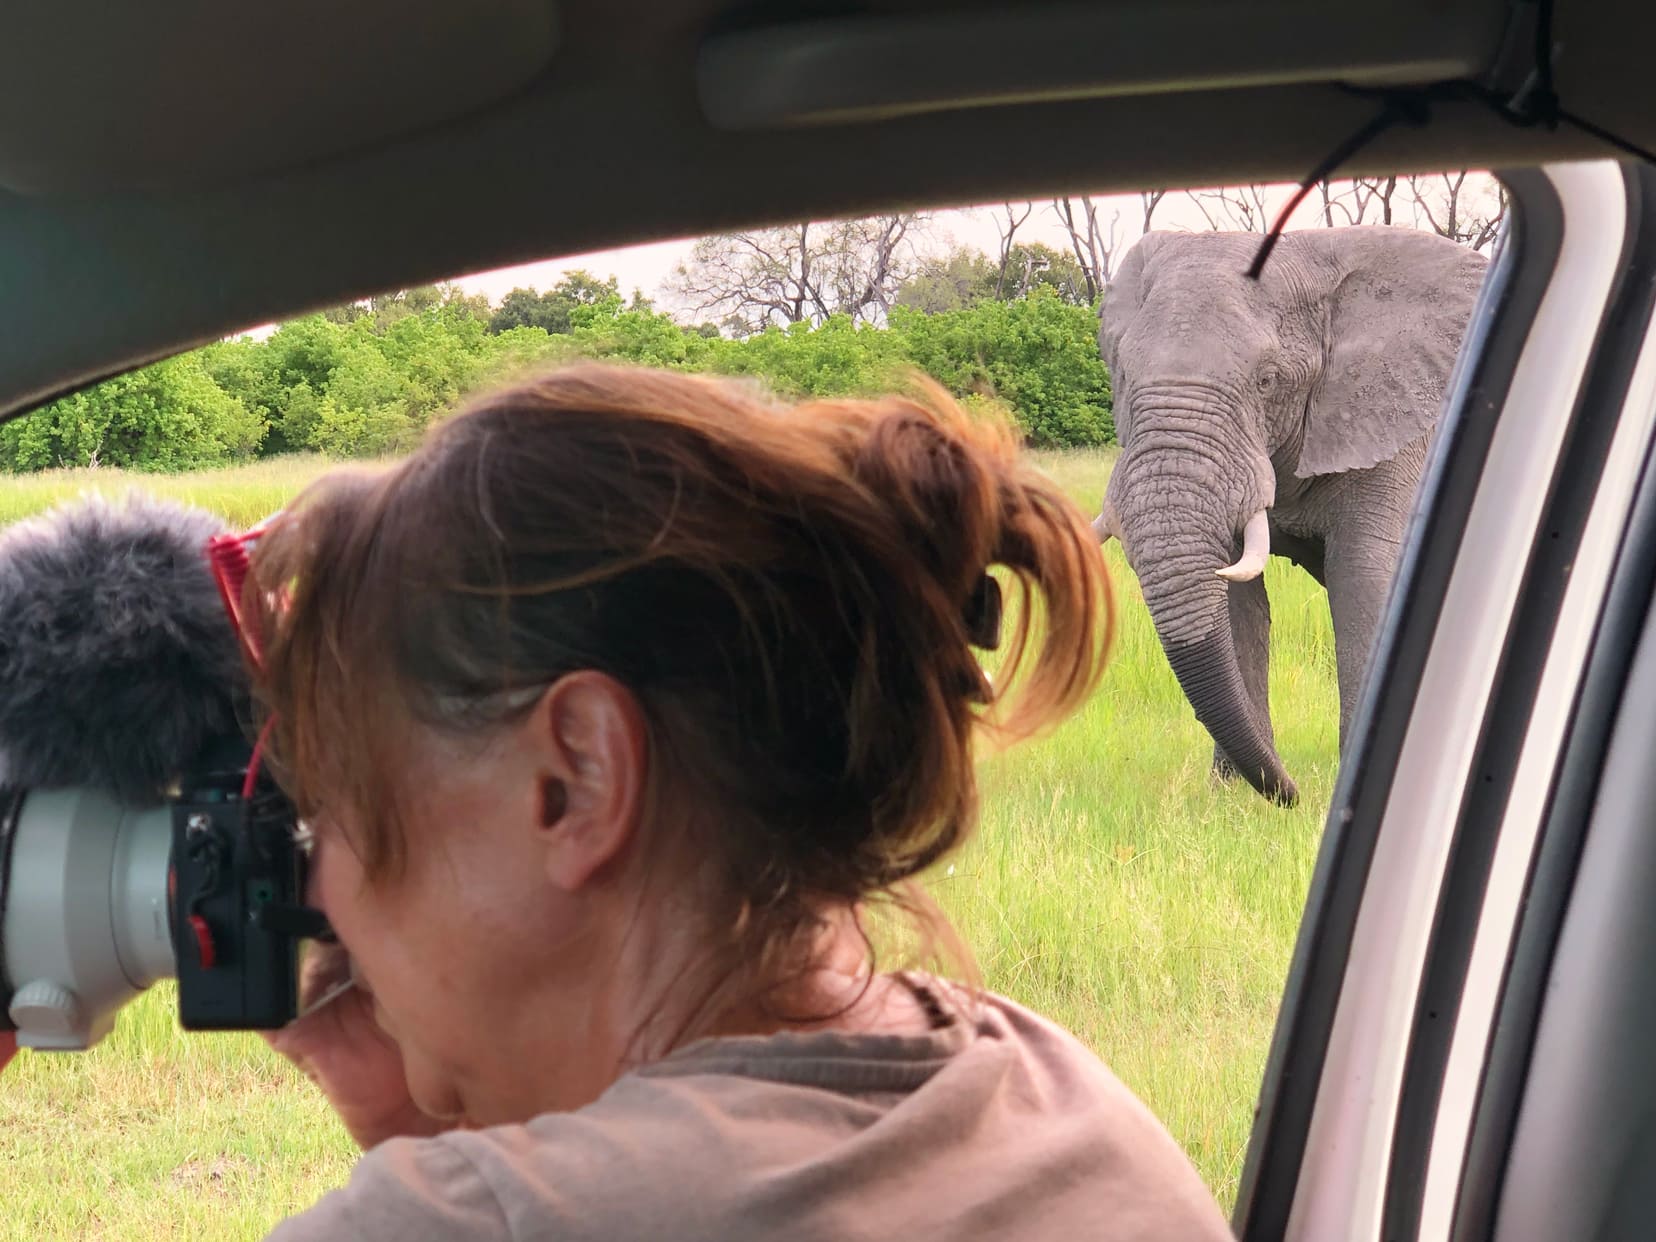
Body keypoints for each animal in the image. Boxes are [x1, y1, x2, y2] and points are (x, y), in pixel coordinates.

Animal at [1099, 226, 1490, 808]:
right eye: (1122, 372)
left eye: (1267, 380)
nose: (1292, 794)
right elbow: (1236, 599)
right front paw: (1229, 799)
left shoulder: (1397, 425)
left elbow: (1362, 577)